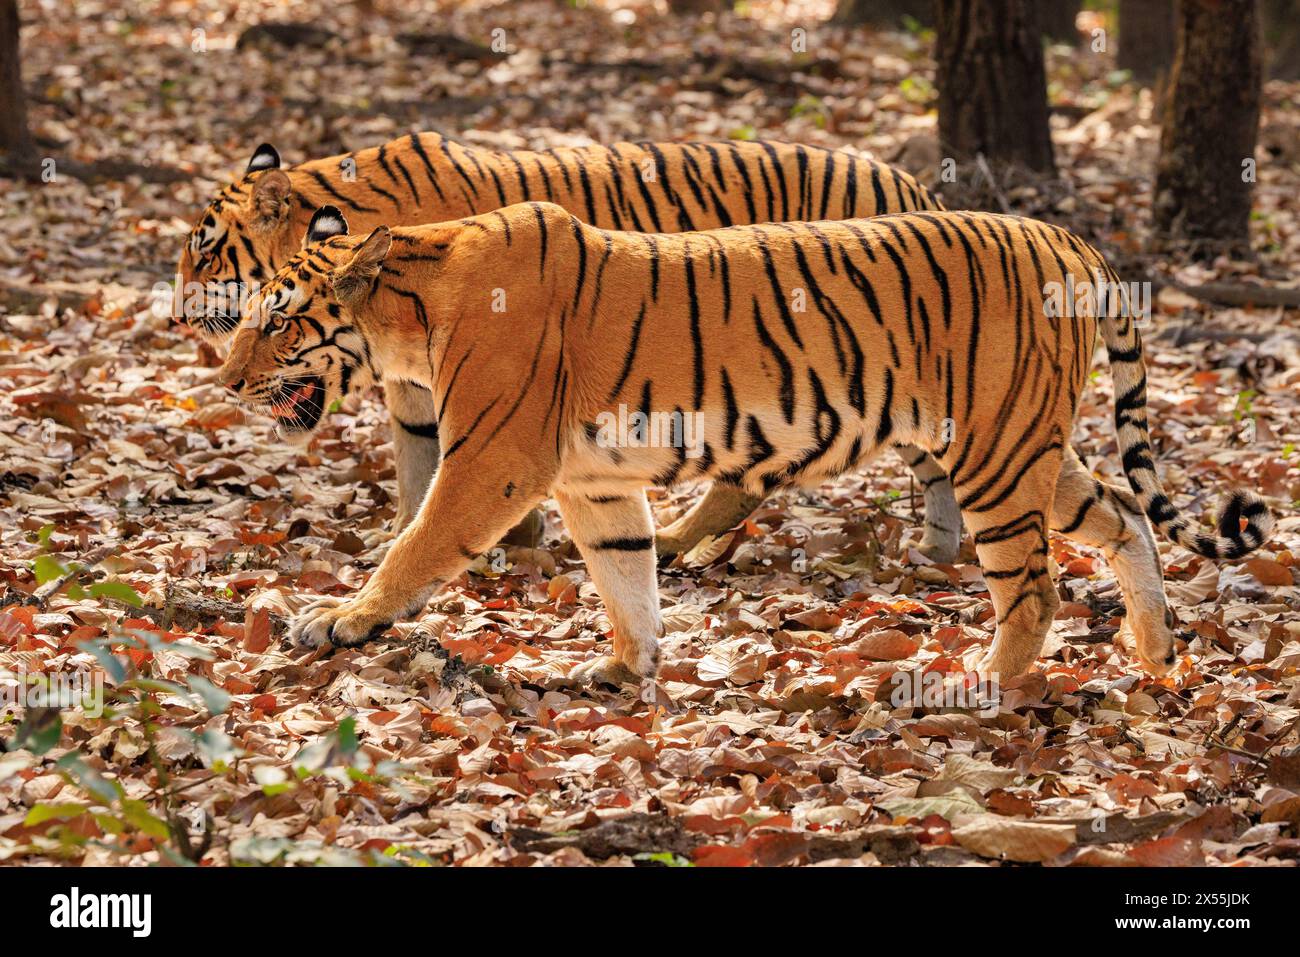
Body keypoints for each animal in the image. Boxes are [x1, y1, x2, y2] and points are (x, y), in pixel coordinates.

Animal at [175, 128, 967, 561]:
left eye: (206, 254)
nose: (179, 318)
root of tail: (917, 187)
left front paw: (508, 540)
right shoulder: (414, 387)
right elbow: (415, 466)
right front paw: (399, 534)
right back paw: (935, 548)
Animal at [213, 201, 1268, 686]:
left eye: (277, 320)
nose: (222, 379)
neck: (416, 310)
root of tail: (1071, 240)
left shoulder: (494, 461)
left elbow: (413, 543)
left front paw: (337, 619)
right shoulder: (594, 480)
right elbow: (626, 574)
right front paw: (625, 668)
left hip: (997, 455)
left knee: (1036, 584)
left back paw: (973, 683)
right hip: (1028, 448)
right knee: (1125, 513)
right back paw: (1155, 650)